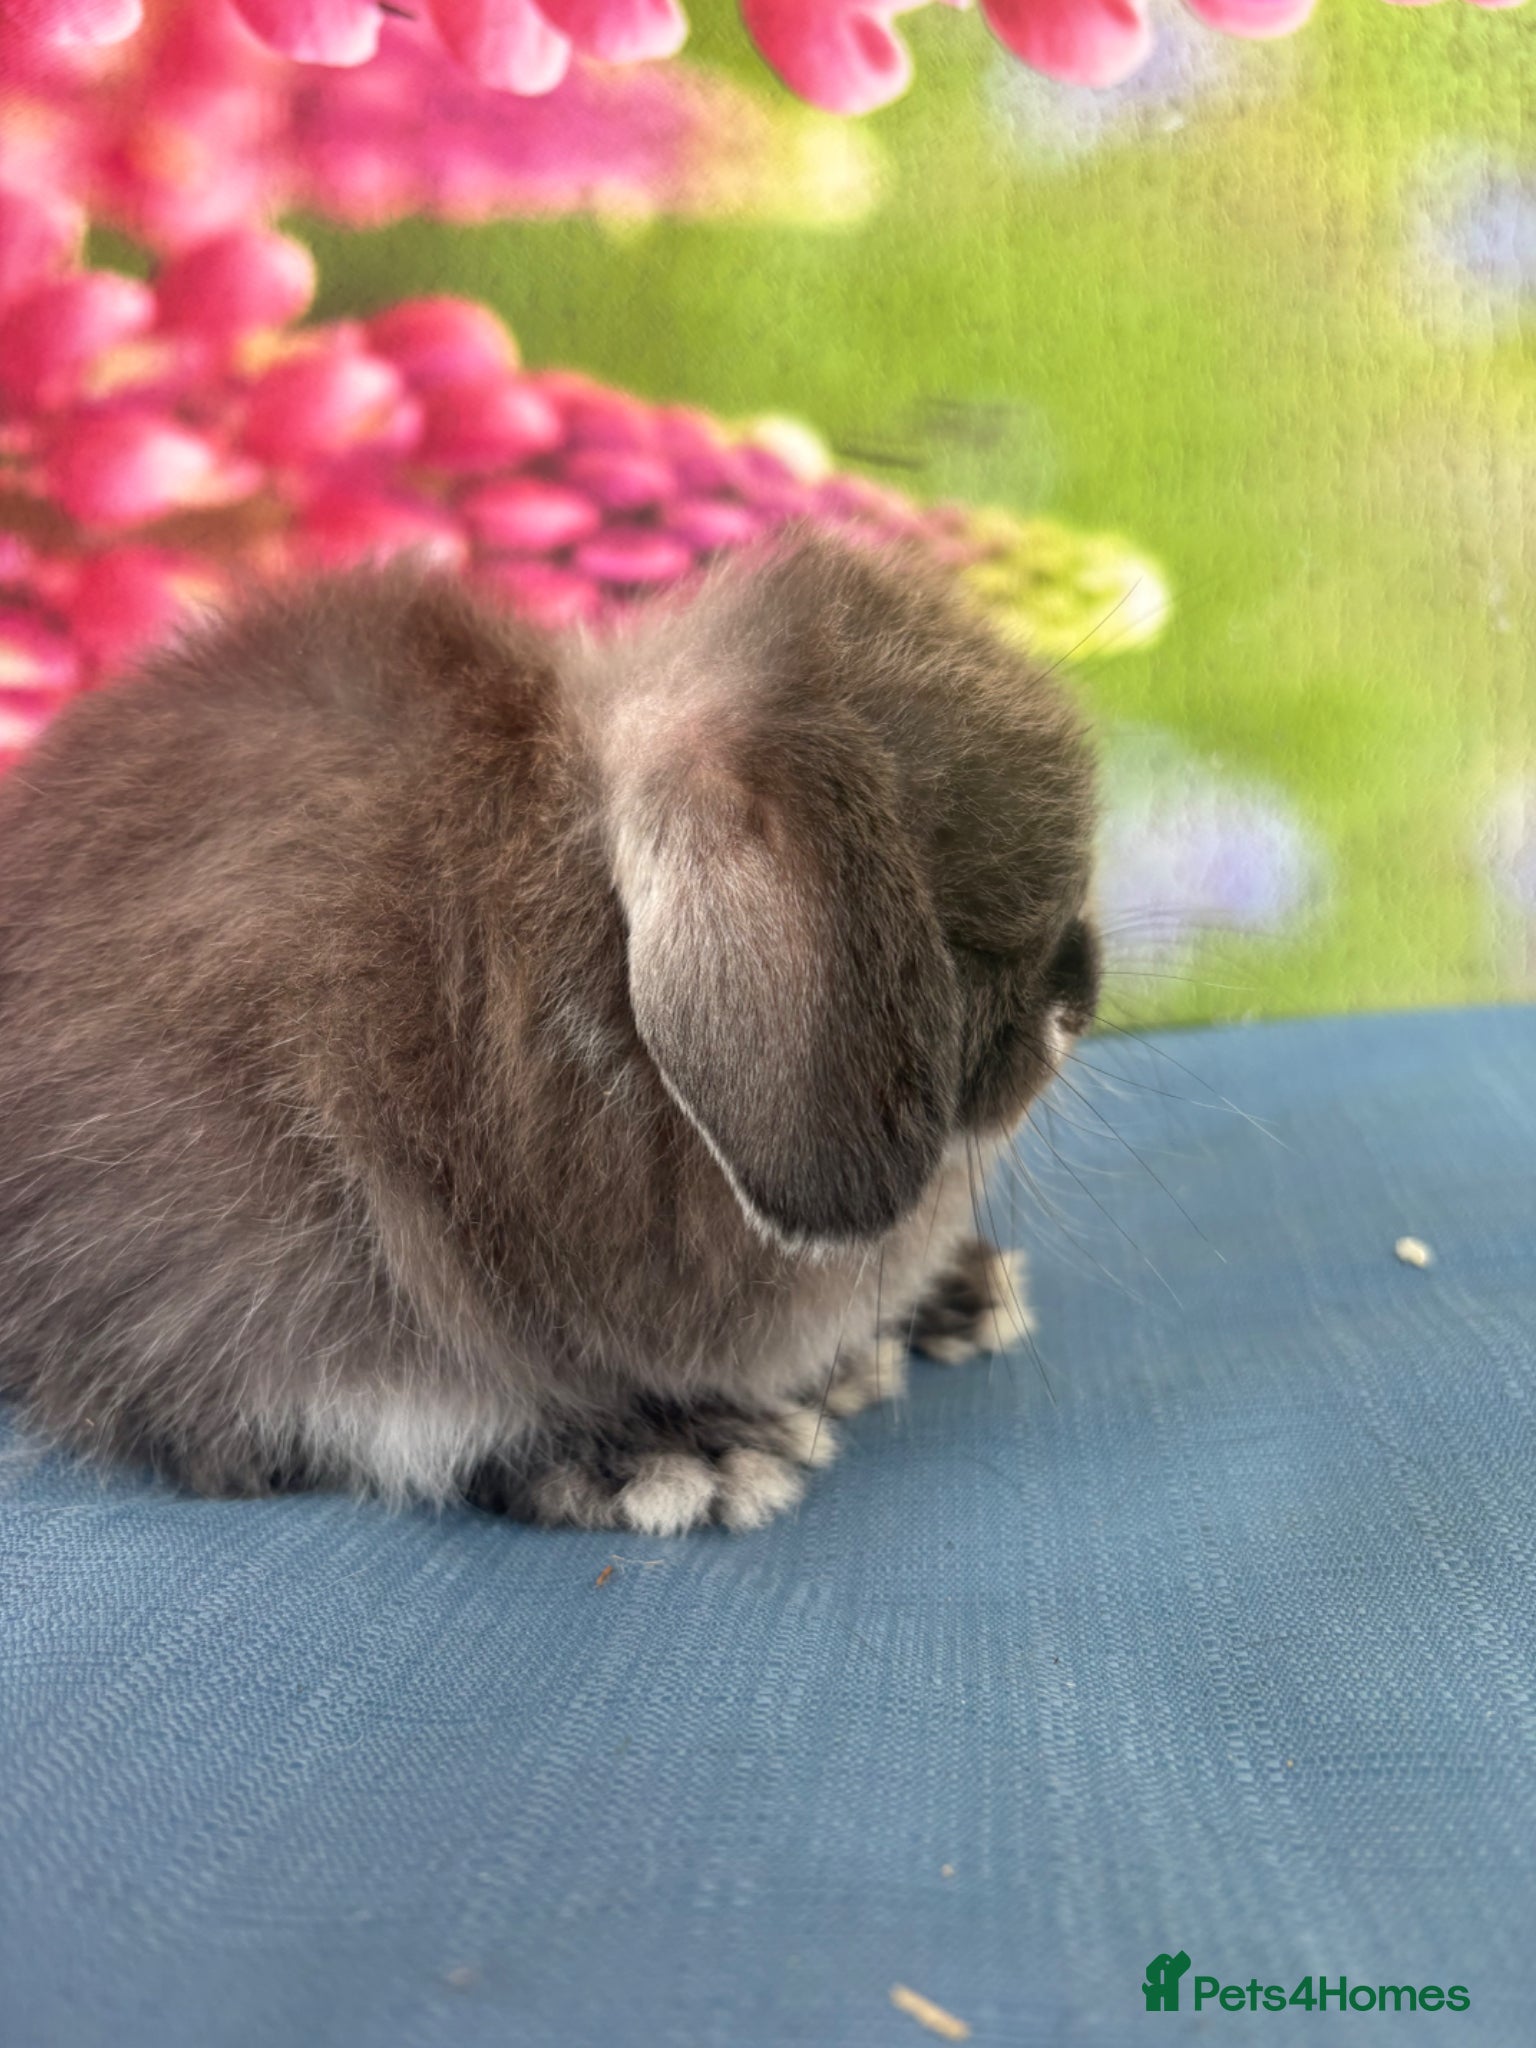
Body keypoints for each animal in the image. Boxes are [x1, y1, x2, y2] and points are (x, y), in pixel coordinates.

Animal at [0, 531, 1100, 1535]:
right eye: (953, 934)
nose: (1077, 1001)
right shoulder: (242, 1256)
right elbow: (386, 1409)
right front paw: (678, 1454)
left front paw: (936, 1303)